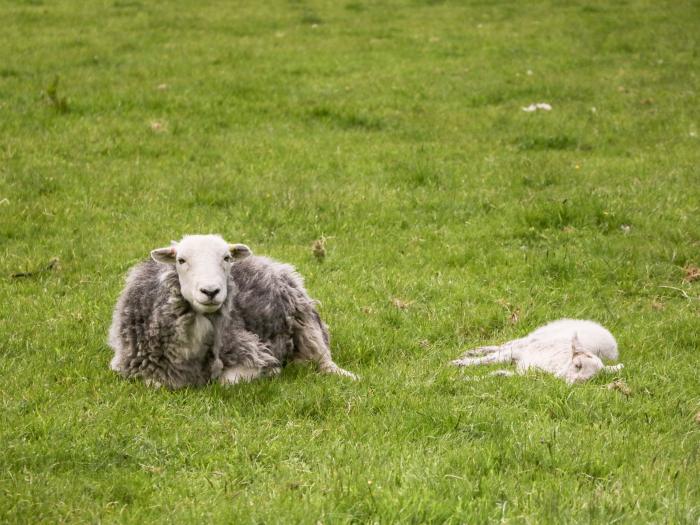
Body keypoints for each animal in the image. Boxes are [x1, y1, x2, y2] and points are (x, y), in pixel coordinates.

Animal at [108, 234, 356, 388]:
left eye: (226, 258)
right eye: (181, 260)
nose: (210, 291)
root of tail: (270, 262)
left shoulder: (251, 350)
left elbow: (227, 381)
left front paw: (272, 372)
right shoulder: (131, 367)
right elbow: (155, 383)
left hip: (305, 322)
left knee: (323, 361)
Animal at [454, 318, 624, 382]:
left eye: (588, 380)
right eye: (577, 365)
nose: (570, 383)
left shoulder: (524, 373)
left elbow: (498, 374)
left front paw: (467, 378)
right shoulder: (522, 352)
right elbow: (487, 360)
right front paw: (460, 364)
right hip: (533, 338)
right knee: (503, 346)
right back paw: (473, 352)